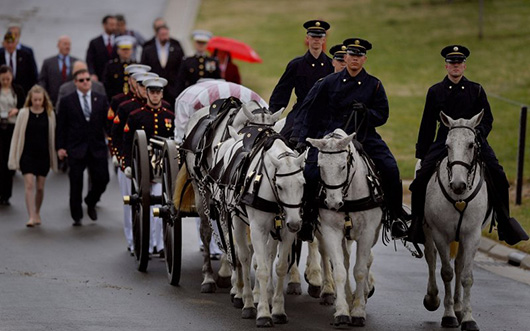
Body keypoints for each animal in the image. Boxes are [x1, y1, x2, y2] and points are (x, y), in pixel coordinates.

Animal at [212, 122, 304, 326]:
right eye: (280, 186)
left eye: (302, 184)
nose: (295, 224)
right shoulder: (257, 229)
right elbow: (261, 269)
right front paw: (263, 313)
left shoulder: (285, 232)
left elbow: (279, 267)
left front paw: (277, 309)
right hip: (235, 220)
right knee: (243, 257)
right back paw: (244, 299)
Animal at [304, 129, 382, 326]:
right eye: (320, 167)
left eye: (342, 166)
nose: (333, 203)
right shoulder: (331, 231)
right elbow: (339, 270)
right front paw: (342, 311)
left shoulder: (367, 233)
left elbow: (360, 270)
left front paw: (358, 311)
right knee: (340, 261)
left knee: (366, 260)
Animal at [418, 112, 488, 331]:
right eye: (447, 145)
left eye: (471, 144)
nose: (458, 184)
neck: (459, 197)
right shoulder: (440, 234)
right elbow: (446, 272)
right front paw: (448, 315)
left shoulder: (472, 235)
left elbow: (465, 275)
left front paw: (467, 317)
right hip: (427, 230)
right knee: (431, 258)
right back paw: (433, 298)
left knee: (458, 264)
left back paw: (459, 307)